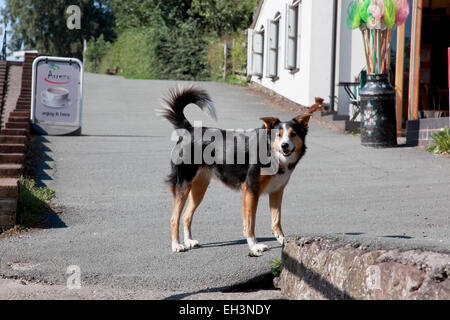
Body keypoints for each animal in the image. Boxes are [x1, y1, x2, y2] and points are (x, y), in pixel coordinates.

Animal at [160, 86, 322, 256]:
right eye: (278, 135)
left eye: (293, 134)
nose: (284, 145)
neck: (271, 151)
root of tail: (189, 130)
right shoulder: (250, 190)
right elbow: (250, 222)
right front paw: (254, 246)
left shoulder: (277, 191)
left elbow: (276, 220)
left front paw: (283, 240)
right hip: (184, 184)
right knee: (174, 218)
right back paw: (177, 245)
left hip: (199, 187)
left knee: (186, 216)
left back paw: (189, 241)